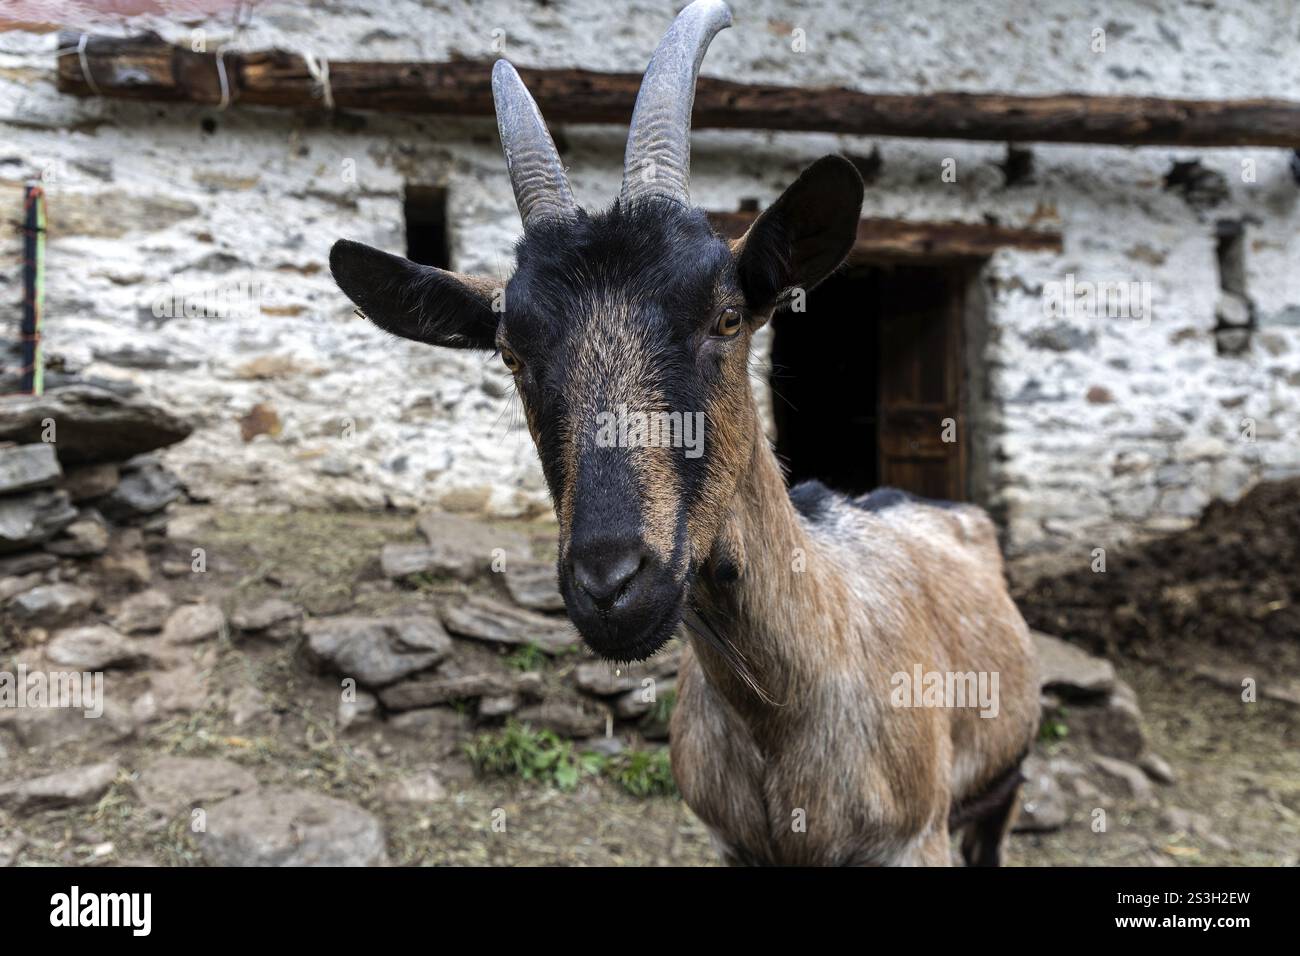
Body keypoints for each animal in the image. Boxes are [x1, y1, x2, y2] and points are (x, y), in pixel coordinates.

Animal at [330, 0, 1040, 866]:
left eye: (728, 317)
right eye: (509, 351)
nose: (612, 584)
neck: (781, 707)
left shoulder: (915, 839)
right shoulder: (733, 845)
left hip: (1001, 786)